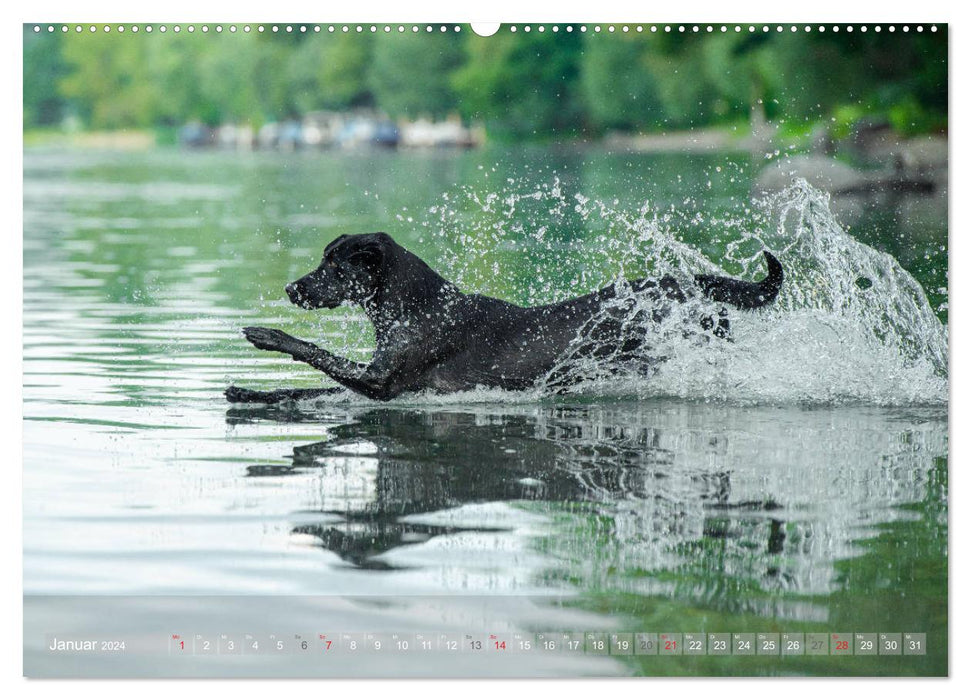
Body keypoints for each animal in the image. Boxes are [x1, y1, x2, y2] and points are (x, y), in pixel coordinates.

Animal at [222, 232, 784, 402]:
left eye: (334, 266)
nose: (291, 288)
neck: (417, 306)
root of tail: (668, 283)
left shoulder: (382, 381)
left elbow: (312, 351)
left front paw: (265, 333)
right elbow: (302, 391)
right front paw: (248, 393)